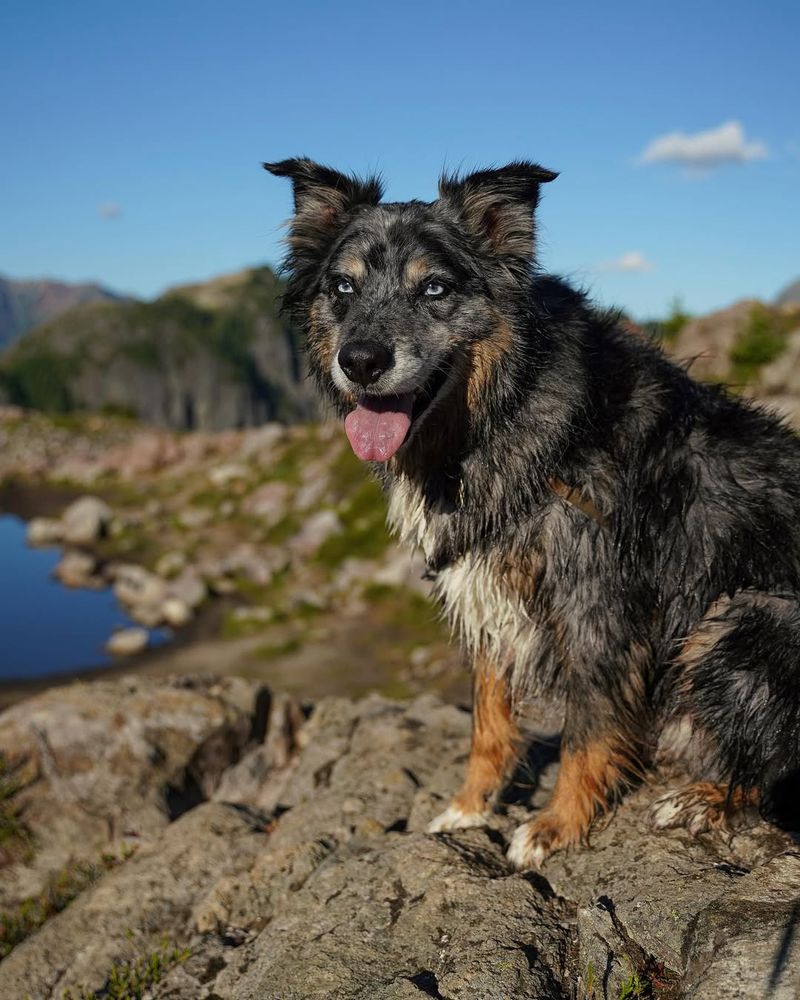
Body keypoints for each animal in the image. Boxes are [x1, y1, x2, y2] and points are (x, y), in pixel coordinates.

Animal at [266, 158, 800, 868]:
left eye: (434, 288)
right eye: (342, 286)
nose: (360, 362)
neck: (501, 412)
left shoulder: (596, 603)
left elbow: (587, 729)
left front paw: (557, 825)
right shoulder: (487, 588)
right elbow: (489, 718)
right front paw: (468, 807)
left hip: (746, 618)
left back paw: (704, 798)